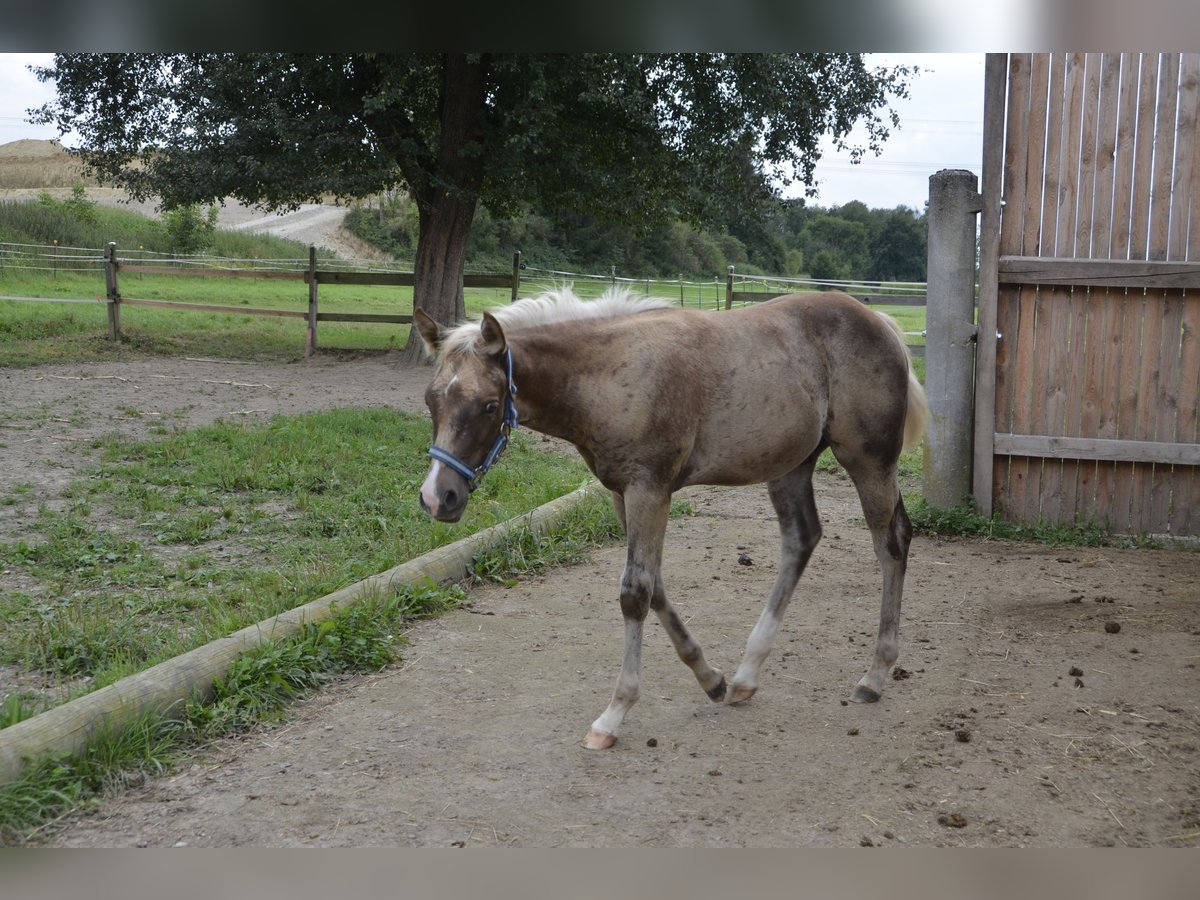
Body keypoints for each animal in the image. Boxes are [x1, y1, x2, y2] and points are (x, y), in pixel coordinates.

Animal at [417, 285, 931, 748]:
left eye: (488, 405)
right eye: (430, 400)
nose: (438, 497)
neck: (609, 372)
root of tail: (880, 321)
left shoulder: (650, 489)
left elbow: (635, 592)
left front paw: (613, 714)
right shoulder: (624, 493)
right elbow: (654, 585)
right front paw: (711, 679)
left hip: (869, 461)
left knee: (891, 542)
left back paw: (875, 675)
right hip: (791, 465)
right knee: (802, 538)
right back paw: (746, 675)